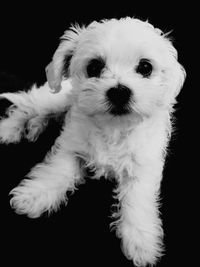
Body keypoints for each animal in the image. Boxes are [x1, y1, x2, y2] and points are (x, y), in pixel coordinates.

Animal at [0, 17, 186, 266]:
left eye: (145, 67)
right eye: (94, 67)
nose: (119, 91)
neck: (114, 127)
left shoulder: (144, 165)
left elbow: (138, 199)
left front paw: (141, 242)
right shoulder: (71, 146)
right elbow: (57, 171)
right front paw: (34, 196)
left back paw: (35, 128)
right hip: (54, 98)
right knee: (28, 107)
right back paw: (10, 129)